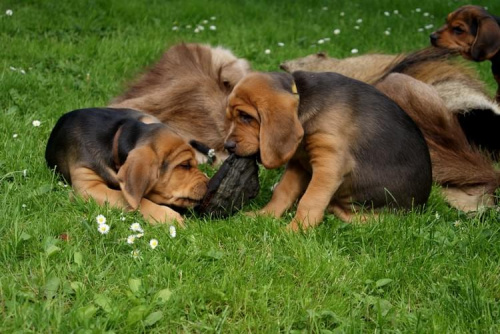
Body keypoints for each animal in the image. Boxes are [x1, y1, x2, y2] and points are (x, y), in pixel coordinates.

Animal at [46, 108, 209, 226]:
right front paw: (168, 217)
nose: (209, 184)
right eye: (184, 165)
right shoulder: (87, 187)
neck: (115, 140)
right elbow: (130, 199)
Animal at [225, 72, 432, 231]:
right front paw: (265, 215)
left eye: (246, 117)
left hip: (388, 214)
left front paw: (295, 229)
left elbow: (309, 200)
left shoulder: (330, 164)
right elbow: (282, 191)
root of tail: (423, 205)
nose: (227, 146)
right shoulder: (299, 163)